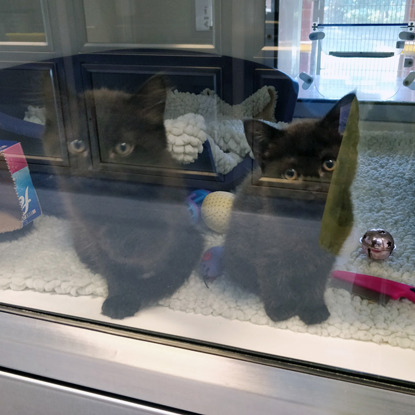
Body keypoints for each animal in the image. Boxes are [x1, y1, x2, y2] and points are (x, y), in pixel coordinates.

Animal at [43, 76, 203, 320]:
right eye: (78, 144)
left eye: (123, 148)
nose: (95, 169)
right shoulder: (92, 232)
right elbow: (111, 263)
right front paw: (120, 298)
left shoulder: (175, 228)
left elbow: (167, 263)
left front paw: (144, 290)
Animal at [223, 93, 356, 324]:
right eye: (290, 174)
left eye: (330, 163)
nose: (313, 186)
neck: (309, 222)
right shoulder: (268, 248)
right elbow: (274, 277)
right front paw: (282, 308)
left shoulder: (327, 252)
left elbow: (316, 279)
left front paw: (313, 308)